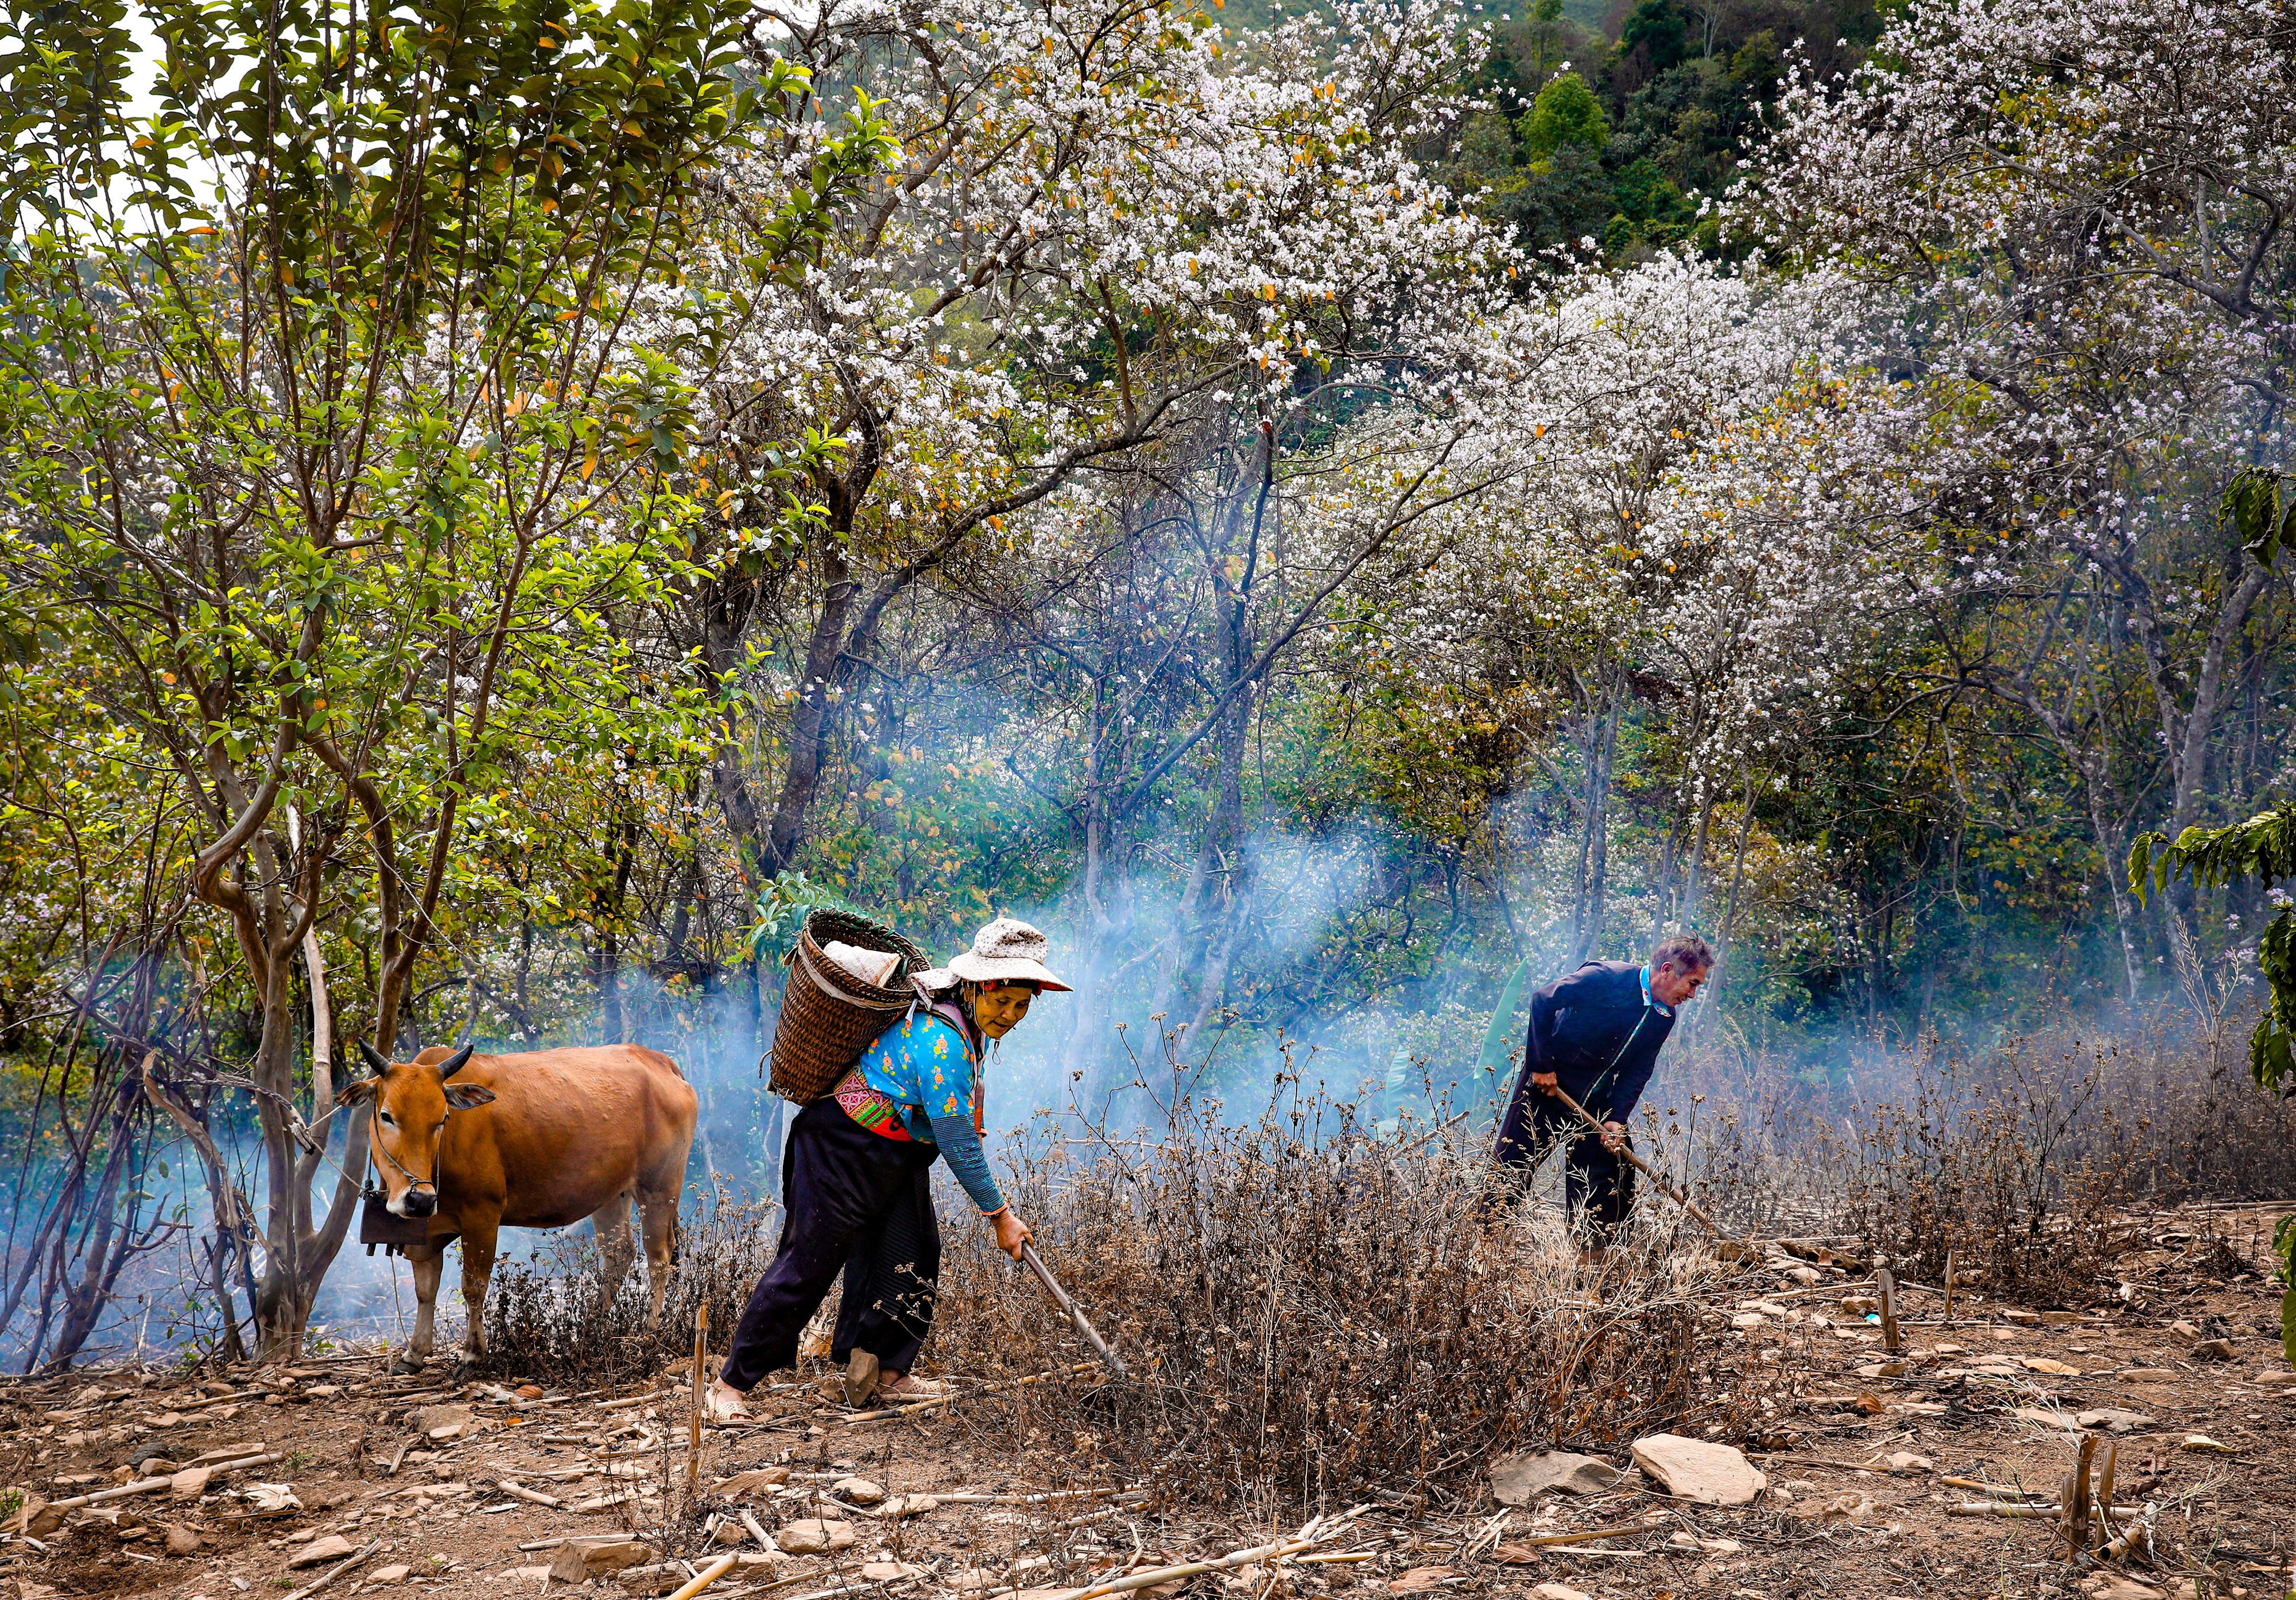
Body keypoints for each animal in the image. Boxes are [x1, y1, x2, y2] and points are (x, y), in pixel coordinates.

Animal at [344, 1042, 693, 1368]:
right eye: (386, 1116)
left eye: (443, 1119)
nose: (420, 1198)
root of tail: (660, 1061)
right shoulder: (426, 1229)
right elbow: (425, 1288)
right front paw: (415, 1353)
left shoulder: (482, 1215)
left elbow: (473, 1286)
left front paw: (473, 1354)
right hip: (611, 1194)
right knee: (618, 1255)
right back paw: (591, 1330)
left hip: (659, 1189)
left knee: (659, 1256)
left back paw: (649, 1331)